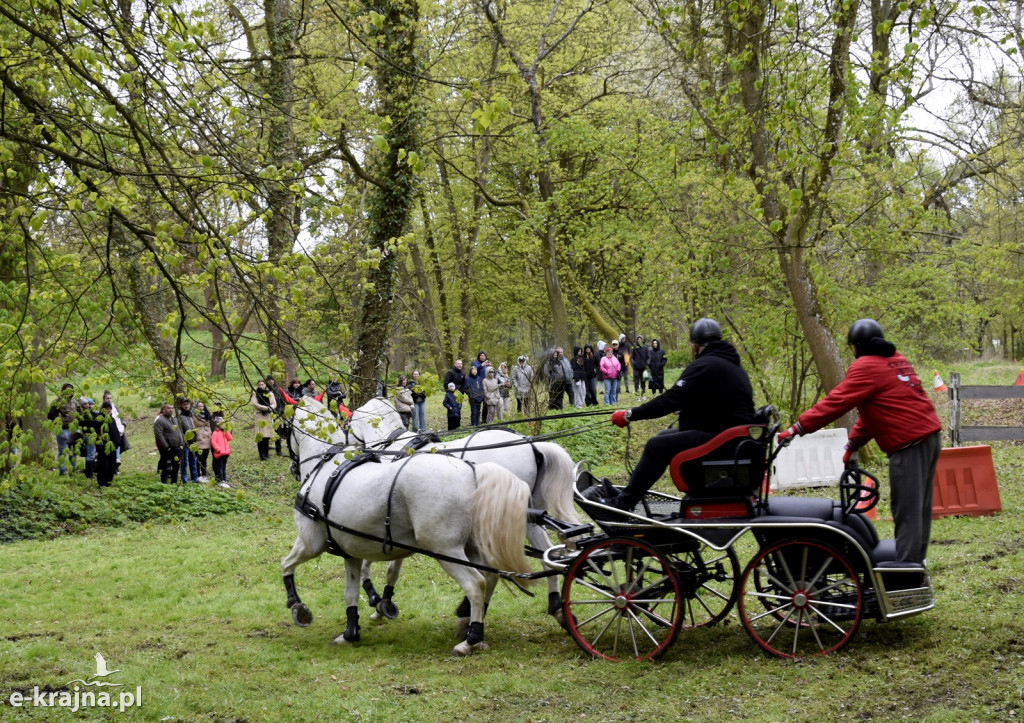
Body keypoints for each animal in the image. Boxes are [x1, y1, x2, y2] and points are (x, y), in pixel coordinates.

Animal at [282, 393, 536, 655]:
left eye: (284, 428)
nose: (292, 467)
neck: (326, 465)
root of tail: (472, 471)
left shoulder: (310, 542)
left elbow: (286, 565)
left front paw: (297, 606)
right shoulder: (353, 550)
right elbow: (352, 592)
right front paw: (352, 631)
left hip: (446, 549)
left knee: (476, 583)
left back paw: (471, 639)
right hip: (473, 546)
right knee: (490, 577)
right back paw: (473, 627)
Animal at [348, 393, 581, 626]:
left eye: (348, 426)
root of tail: (532, 445)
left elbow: (376, 565)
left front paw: (377, 600)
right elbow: (391, 569)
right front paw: (382, 602)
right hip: (529, 520)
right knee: (547, 557)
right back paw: (555, 605)